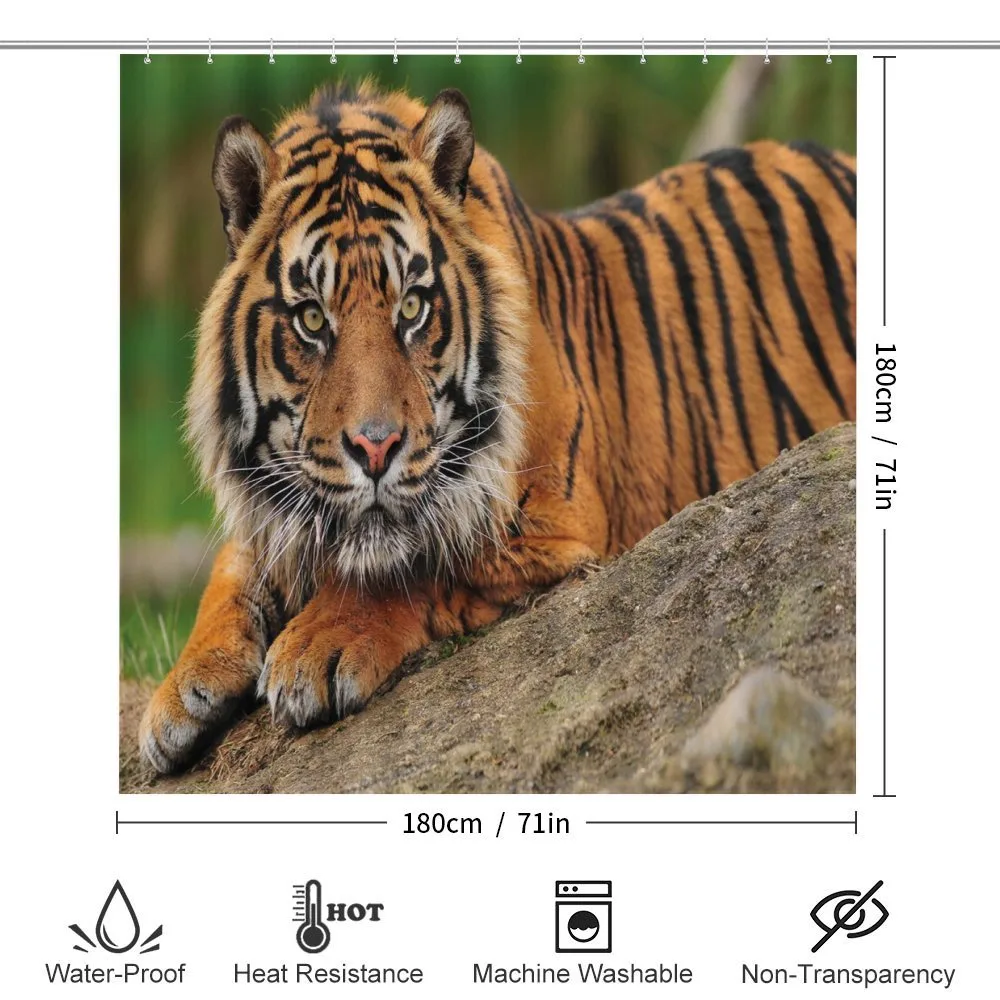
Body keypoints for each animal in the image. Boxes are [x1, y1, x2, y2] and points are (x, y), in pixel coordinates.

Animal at [138, 79, 856, 773]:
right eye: (312, 319)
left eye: (412, 307)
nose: (376, 447)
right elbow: (233, 567)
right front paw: (180, 694)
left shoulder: (551, 527)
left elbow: (416, 565)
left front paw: (316, 648)